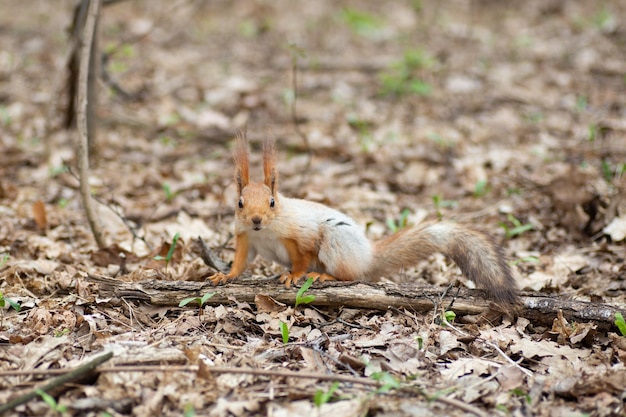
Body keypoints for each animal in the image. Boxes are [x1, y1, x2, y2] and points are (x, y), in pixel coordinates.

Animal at [210, 134, 516, 306]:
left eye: (272, 202)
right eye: (239, 203)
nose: (256, 219)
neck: (264, 232)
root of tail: (368, 256)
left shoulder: (300, 234)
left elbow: (303, 255)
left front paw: (295, 274)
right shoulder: (245, 238)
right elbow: (241, 262)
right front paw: (225, 275)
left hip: (337, 240)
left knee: (349, 275)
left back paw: (322, 274)